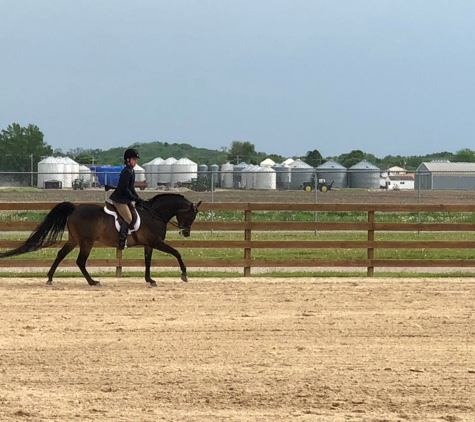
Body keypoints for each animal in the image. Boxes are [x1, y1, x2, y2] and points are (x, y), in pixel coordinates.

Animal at [0, 194, 201, 286]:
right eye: (191, 216)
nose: (186, 233)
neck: (155, 214)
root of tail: (75, 209)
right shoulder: (156, 242)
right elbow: (177, 253)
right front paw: (184, 275)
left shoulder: (149, 245)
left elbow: (148, 261)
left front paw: (149, 280)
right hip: (86, 242)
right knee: (80, 261)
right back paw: (93, 282)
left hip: (74, 240)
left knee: (60, 255)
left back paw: (50, 278)